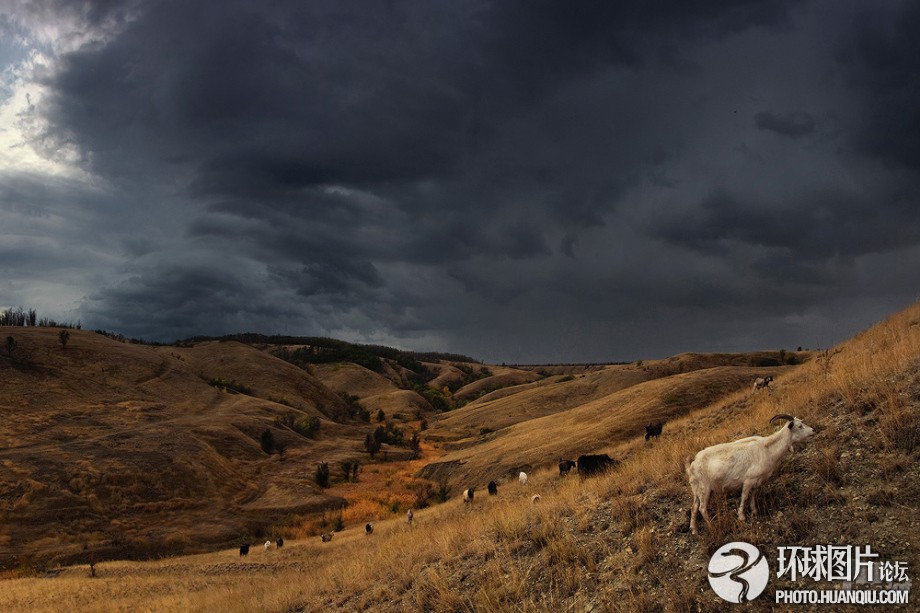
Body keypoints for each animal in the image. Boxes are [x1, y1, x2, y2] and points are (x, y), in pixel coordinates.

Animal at [688, 414, 816, 532]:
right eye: (799, 426)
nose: (813, 430)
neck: (768, 450)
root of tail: (692, 465)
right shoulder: (748, 480)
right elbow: (744, 497)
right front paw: (741, 517)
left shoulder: (757, 481)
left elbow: (753, 495)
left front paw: (754, 511)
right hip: (704, 489)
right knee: (702, 508)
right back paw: (711, 526)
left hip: (697, 490)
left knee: (694, 507)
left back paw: (694, 529)